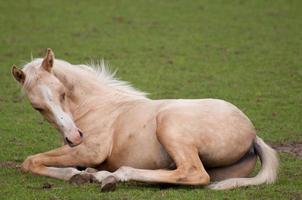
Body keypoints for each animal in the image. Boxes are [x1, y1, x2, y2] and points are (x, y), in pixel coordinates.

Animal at [13, 48, 280, 191]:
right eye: (38, 107)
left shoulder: (91, 150)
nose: (74, 137)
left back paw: (111, 176)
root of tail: (253, 135)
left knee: (193, 173)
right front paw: (80, 174)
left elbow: (30, 162)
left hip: (169, 124)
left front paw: (79, 175)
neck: (97, 105)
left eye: (62, 93)